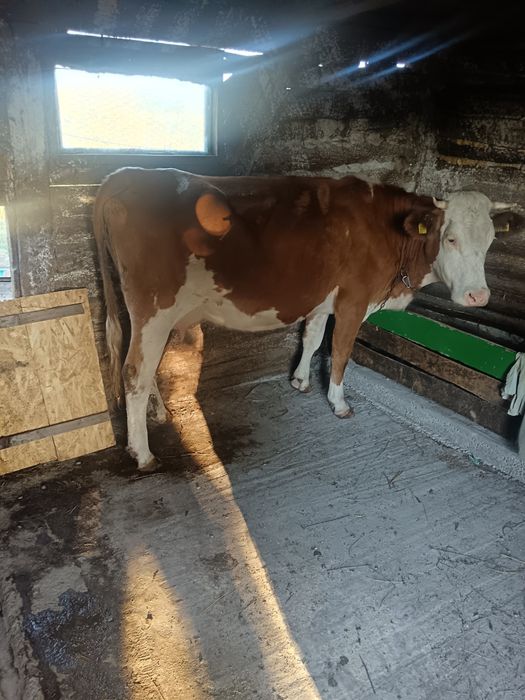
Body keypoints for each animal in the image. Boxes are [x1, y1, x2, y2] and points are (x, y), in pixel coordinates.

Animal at [93, 167, 515, 471]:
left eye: (490, 241)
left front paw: (300, 381)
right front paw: (339, 403)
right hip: (154, 308)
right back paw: (142, 453)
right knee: (134, 372)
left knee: (145, 367)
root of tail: (122, 175)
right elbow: (341, 353)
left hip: (152, 316)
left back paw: (158, 414)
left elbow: (311, 338)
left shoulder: (323, 300)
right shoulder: (353, 301)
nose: (478, 296)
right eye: (451, 238)